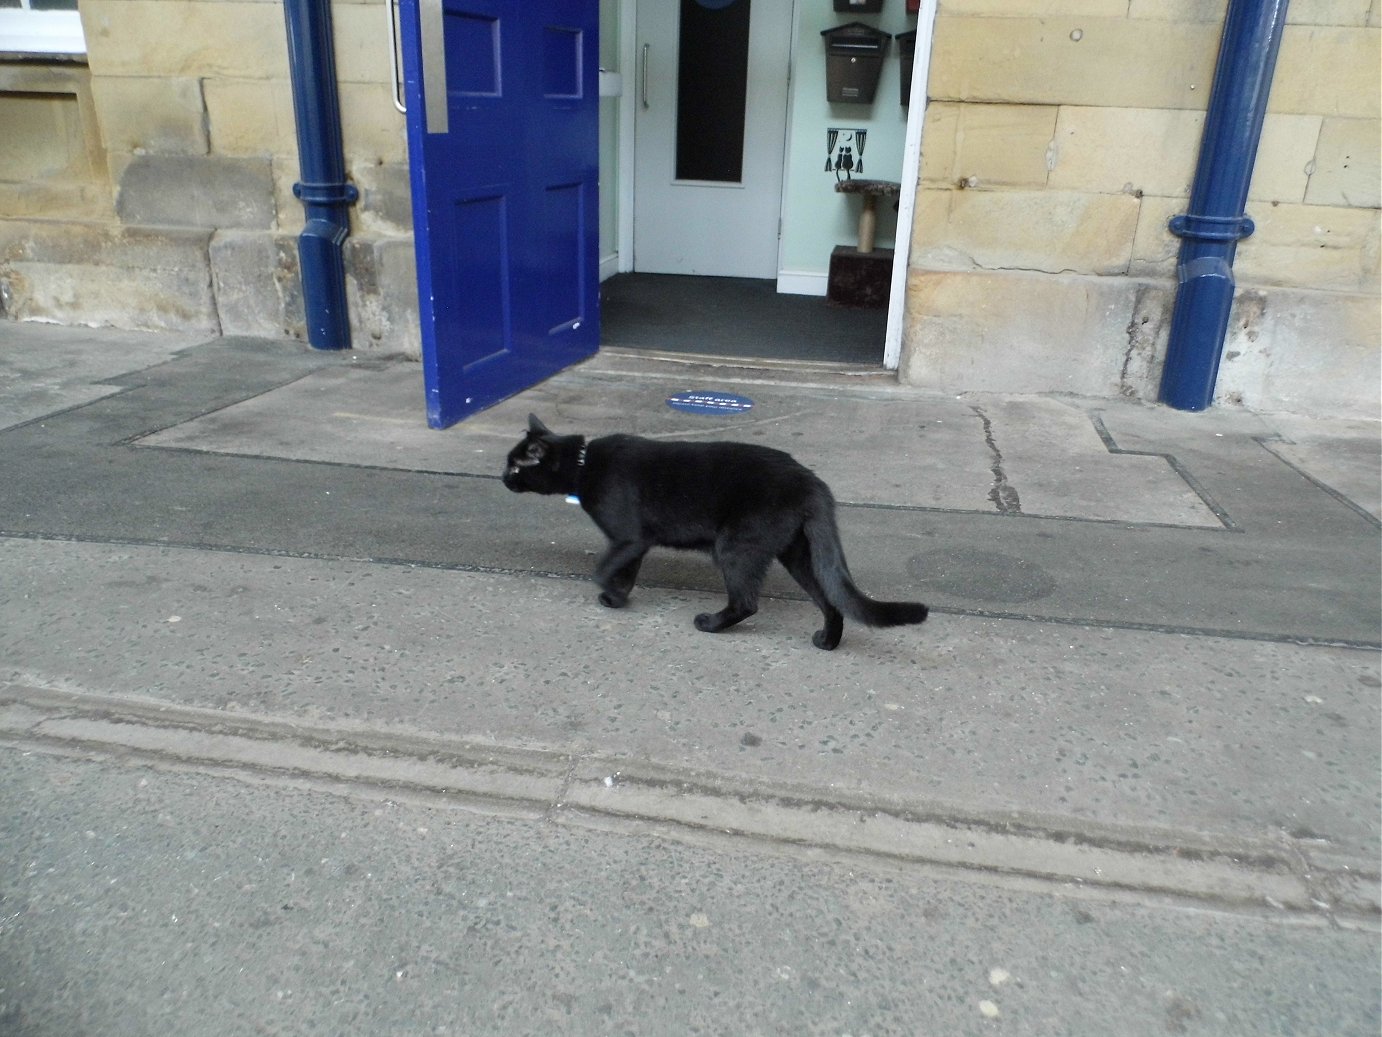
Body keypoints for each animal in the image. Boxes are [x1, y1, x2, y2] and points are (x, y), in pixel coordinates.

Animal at [500, 414, 928, 649]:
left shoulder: (628, 537)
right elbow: (626, 571)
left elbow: (602, 569)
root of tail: (812, 481)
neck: (584, 464)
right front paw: (618, 597)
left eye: (516, 466)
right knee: (830, 600)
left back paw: (710, 624)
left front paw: (611, 595)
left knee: (747, 603)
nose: (502, 476)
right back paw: (827, 643)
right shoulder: (637, 543)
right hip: (796, 553)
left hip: (735, 547)